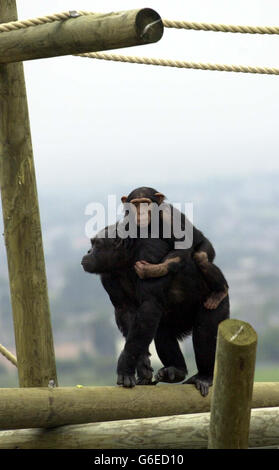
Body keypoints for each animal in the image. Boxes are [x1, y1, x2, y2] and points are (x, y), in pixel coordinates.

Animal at [81, 224, 230, 396]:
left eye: (96, 243)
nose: (88, 251)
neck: (127, 258)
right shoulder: (108, 275)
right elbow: (125, 311)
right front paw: (142, 364)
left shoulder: (150, 253)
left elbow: (149, 304)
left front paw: (125, 366)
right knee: (161, 332)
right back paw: (176, 370)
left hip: (216, 303)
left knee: (204, 330)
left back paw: (204, 376)